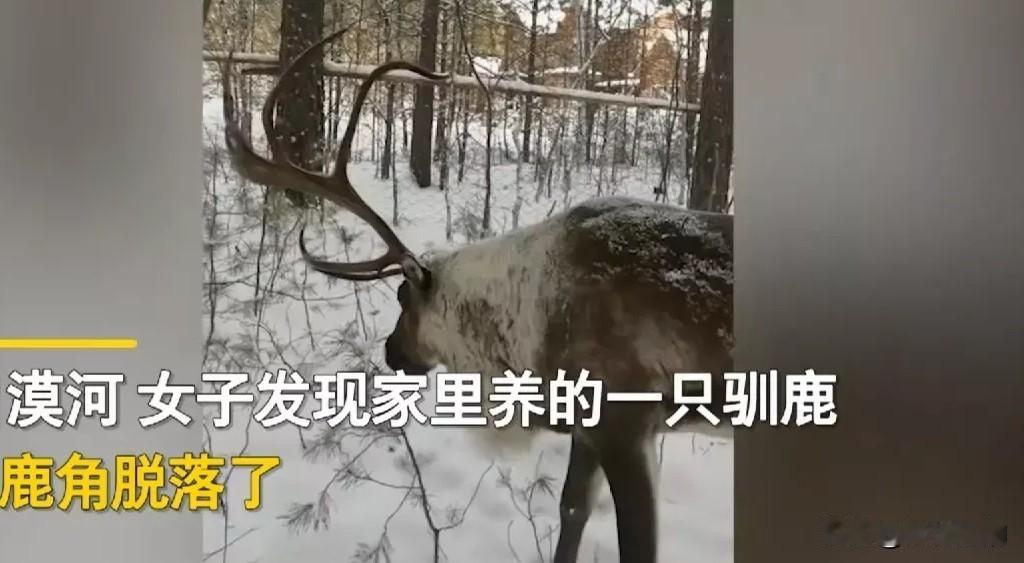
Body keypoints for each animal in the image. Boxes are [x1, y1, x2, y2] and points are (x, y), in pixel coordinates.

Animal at [219, 28, 733, 563]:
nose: (391, 352)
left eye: (402, 296)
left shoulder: (626, 421)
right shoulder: (588, 426)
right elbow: (572, 507)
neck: (523, 328)